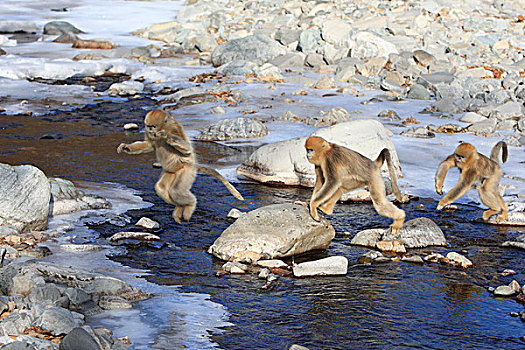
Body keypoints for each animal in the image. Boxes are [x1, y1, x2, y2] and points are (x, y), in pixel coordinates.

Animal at [116, 109, 244, 223]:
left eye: (153, 126)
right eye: (148, 126)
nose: (150, 131)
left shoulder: (174, 129)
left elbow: (187, 149)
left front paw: (166, 136)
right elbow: (148, 145)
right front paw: (126, 147)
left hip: (186, 170)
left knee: (176, 190)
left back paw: (191, 204)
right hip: (170, 172)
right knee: (161, 188)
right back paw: (180, 206)